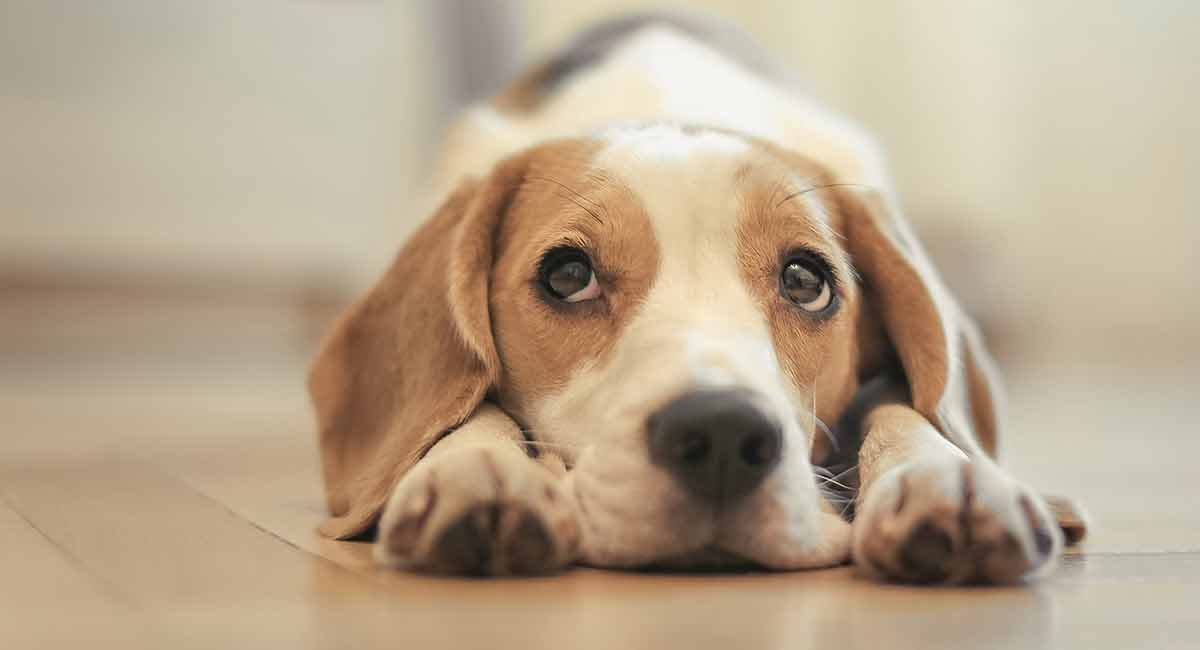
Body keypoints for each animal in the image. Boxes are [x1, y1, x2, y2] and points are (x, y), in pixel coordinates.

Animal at [307, 14, 1089, 585]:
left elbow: (905, 406)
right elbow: (470, 405)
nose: (719, 436)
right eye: (568, 276)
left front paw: (946, 478)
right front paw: (475, 469)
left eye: (805, 281)